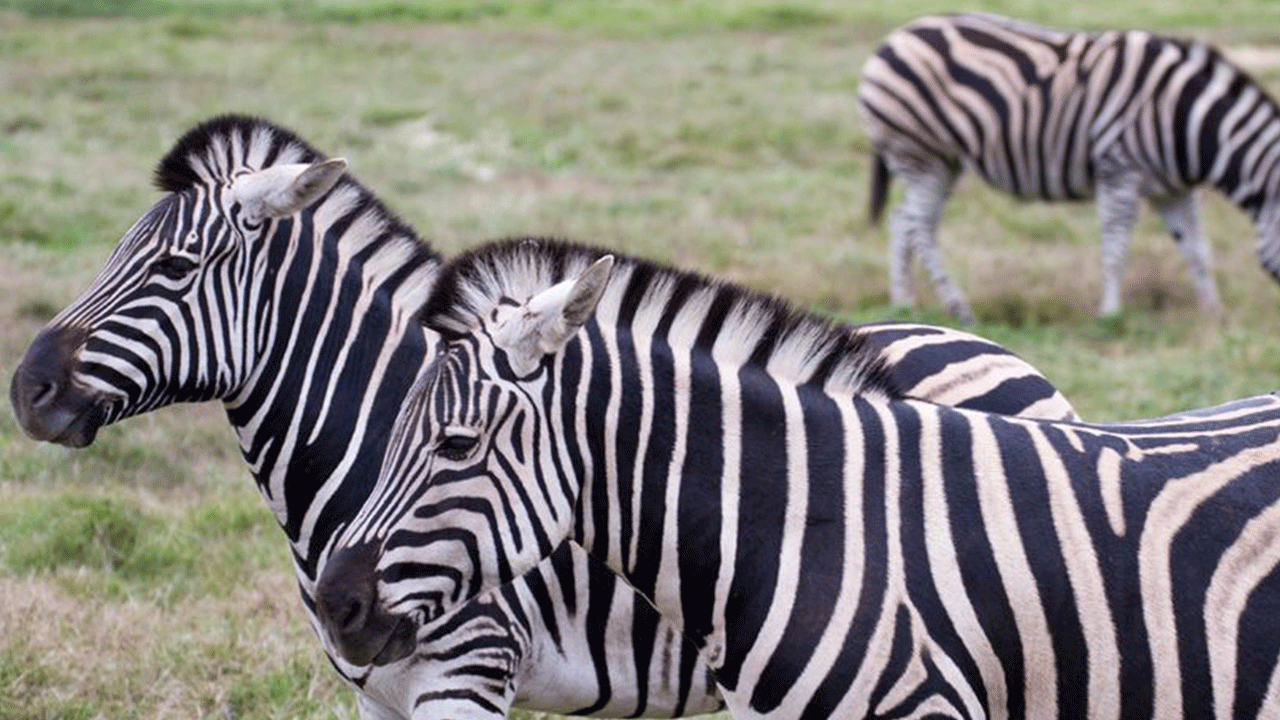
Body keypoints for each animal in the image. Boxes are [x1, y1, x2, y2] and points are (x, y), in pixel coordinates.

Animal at [858, 13, 1280, 321]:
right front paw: (1110, 315)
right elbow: (1116, 248)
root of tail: (893, 39)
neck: (1184, 120)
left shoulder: (1174, 189)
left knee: (902, 221)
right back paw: (959, 308)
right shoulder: (1118, 169)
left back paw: (904, 304)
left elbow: (1197, 250)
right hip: (918, 153)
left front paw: (1213, 313)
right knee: (919, 226)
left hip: (941, 161)